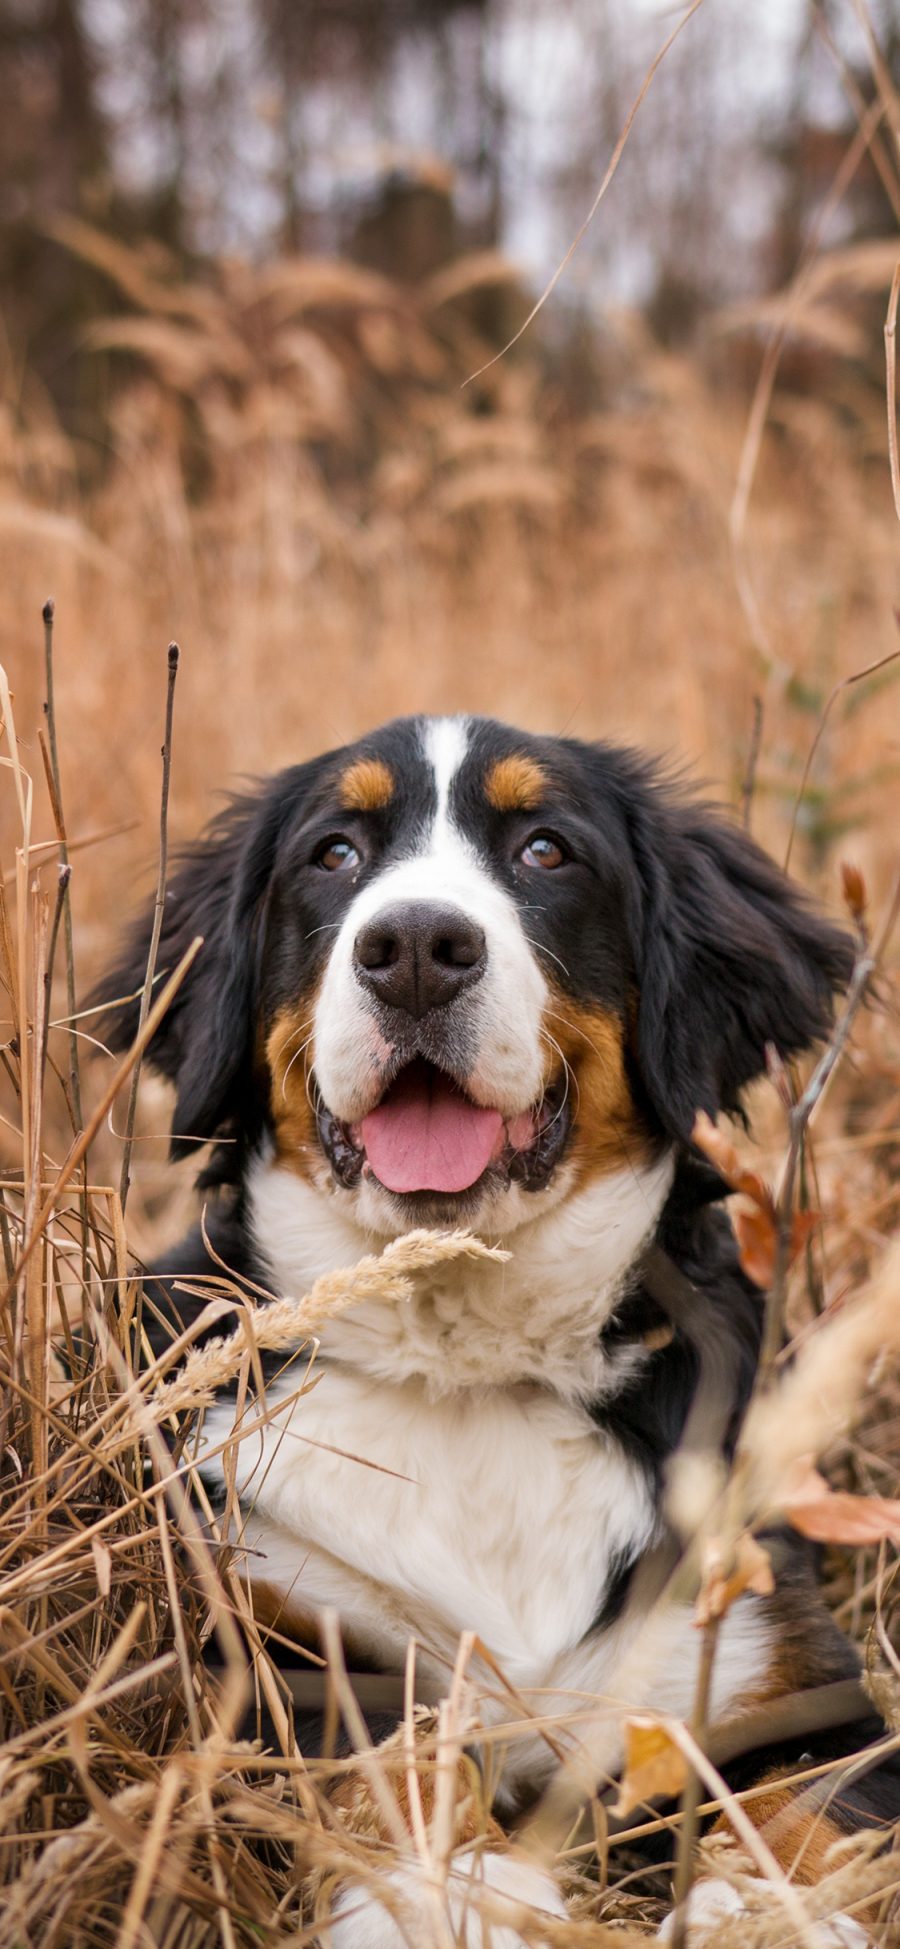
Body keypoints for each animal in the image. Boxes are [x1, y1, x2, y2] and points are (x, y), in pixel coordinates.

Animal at [94, 717, 896, 1949]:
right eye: (334, 853)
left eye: (546, 850)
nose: (418, 946)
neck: (465, 1361)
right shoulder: (278, 1636)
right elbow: (390, 1761)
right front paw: (456, 1884)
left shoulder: (777, 1665)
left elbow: (805, 1805)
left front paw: (769, 1906)